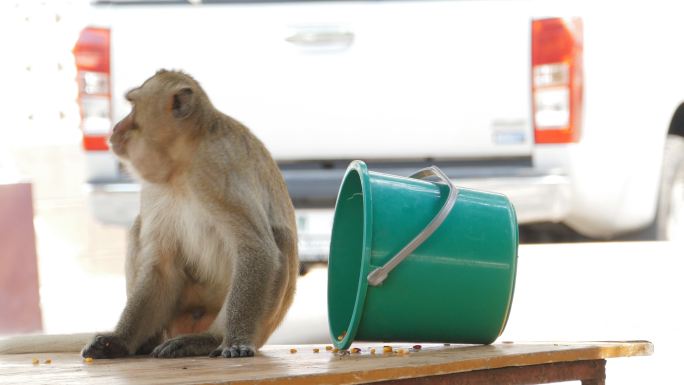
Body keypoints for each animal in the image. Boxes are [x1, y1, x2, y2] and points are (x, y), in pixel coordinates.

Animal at [76, 70, 298, 356]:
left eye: (133, 107)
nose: (116, 128)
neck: (181, 167)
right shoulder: (153, 190)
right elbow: (161, 266)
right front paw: (120, 339)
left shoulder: (216, 171)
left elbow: (257, 249)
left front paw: (234, 341)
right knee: (137, 228)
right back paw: (147, 340)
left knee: (279, 238)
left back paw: (209, 339)